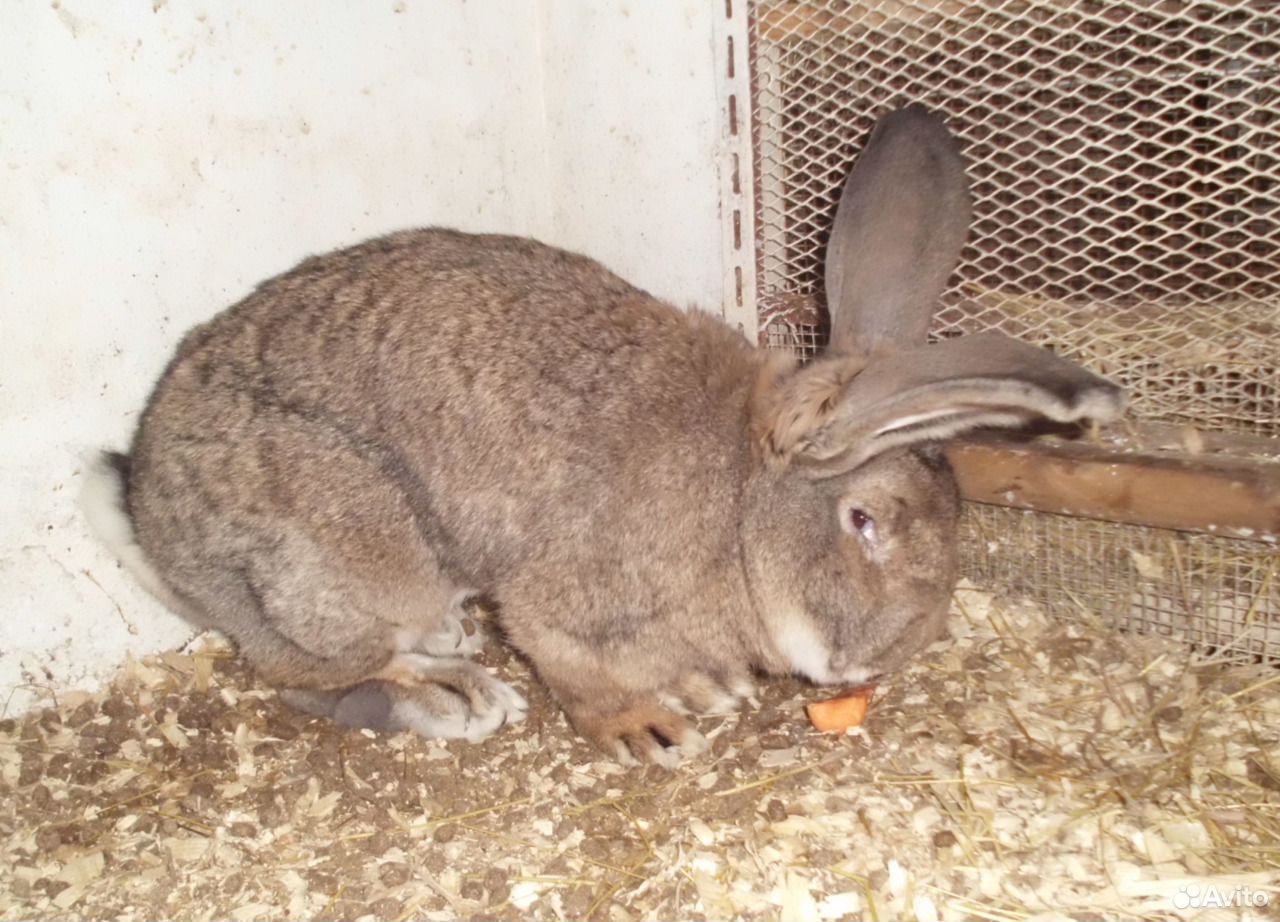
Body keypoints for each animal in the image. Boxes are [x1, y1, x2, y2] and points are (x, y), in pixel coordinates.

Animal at [82, 106, 1121, 763]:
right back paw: (449, 696)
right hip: (342, 562)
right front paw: (647, 730)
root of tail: (147, 518)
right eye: (864, 523)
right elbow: (575, 668)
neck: (739, 501)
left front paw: (704, 690)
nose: (881, 661)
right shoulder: (566, 602)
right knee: (303, 676)